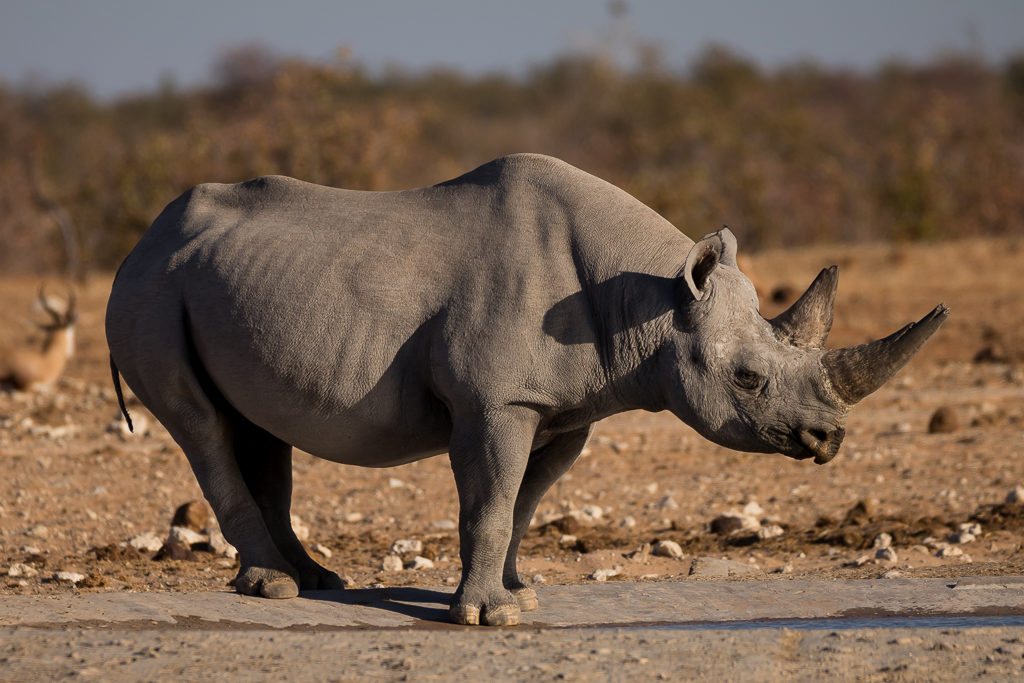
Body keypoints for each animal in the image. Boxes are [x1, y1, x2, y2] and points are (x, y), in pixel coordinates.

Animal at [106, 153, 947, 625]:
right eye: (747, 377)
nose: (829, 438)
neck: (651, 300)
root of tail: (141, 241)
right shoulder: (496, 402)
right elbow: (490, 498)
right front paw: (488, 618)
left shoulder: (567, 408)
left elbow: (524, 501)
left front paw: (522, 592)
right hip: (149, 294)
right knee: (202, 426)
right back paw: (277, 588)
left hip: (217, 287)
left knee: (257, 428)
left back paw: (315, 581)